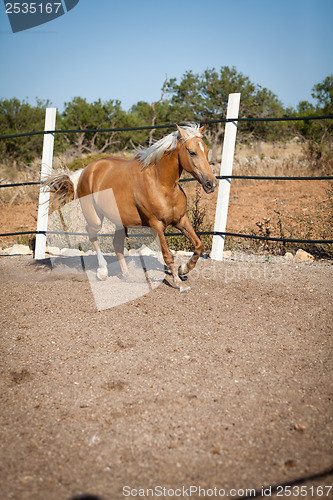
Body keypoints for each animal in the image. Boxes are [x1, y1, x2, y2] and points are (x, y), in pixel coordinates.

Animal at [48, 122, 217, 292]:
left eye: (207, 150)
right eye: (192, 152)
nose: (211, 184)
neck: (162, 184)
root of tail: (87, 170)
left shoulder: (181, 220)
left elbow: (199, 245)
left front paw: (184, 269)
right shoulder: (156, 225)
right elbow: (167, 255)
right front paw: (179, 283)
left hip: (120, 221)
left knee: (117, 244)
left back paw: (128, 275)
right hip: (95, 218)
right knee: (91, 233)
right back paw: (102, 272)